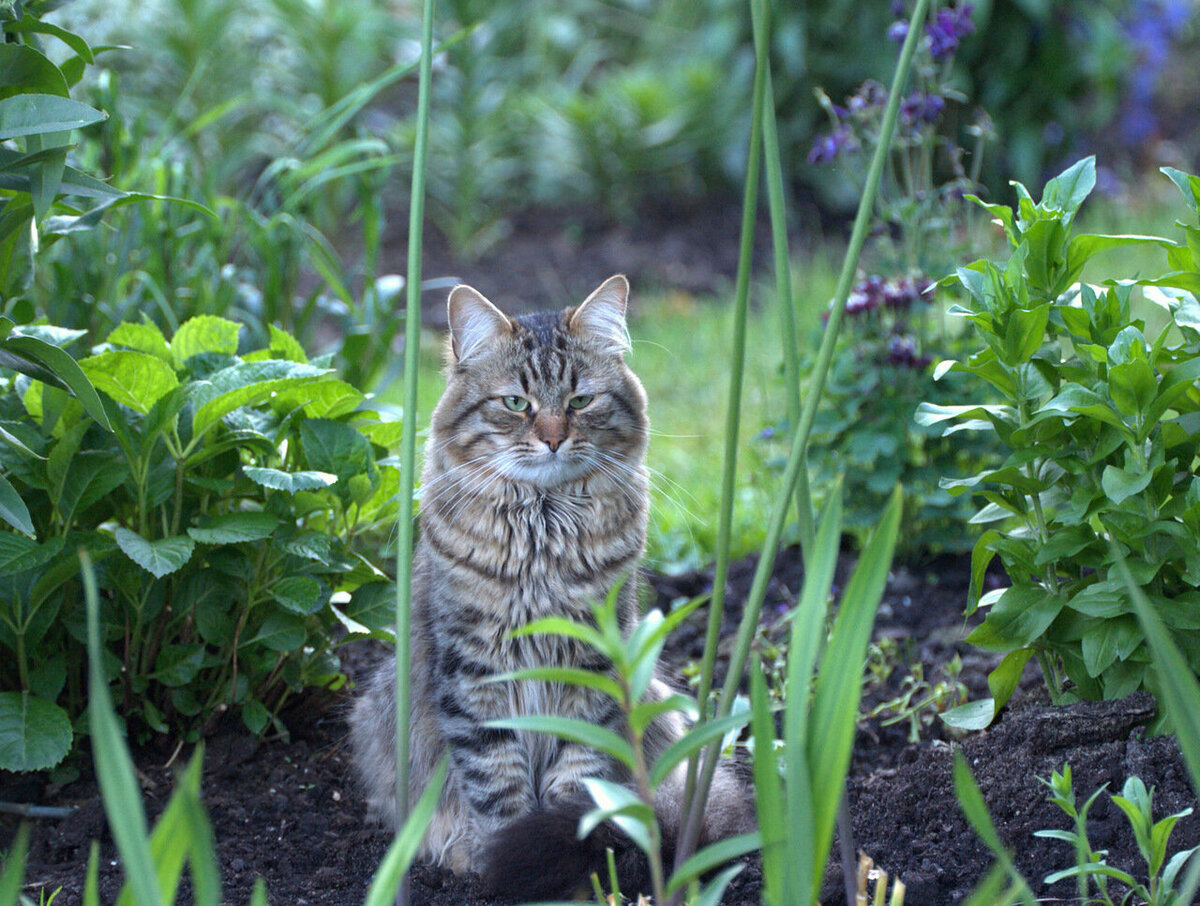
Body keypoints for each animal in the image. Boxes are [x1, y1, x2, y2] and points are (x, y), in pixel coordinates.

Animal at [348, 276, 753, 902]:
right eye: (516, 404)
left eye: (581, 401)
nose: (555, 439)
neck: (543, 530)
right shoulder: (476, 673)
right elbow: (499, 786)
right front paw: (505, 863)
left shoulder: (591, 666)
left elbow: (576, 781)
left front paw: (568, 862)